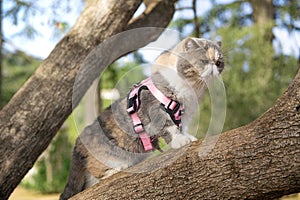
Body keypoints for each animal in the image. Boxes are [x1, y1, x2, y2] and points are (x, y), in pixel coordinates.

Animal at [59, 36, 224, 199]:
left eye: (219, 62)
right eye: (203, 60)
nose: (214, 68)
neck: (193, 88)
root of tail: (77, 145)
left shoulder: (184, 116)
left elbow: (181, 127)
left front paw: (187, 136)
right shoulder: (156, 110)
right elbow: (170, 128)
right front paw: (180, 141)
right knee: (96, 170)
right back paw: (116, 168)